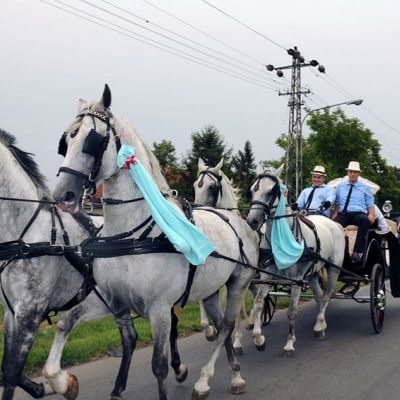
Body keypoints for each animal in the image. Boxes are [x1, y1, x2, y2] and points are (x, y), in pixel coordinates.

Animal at [0, 129, 135, 400]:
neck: (25, 238)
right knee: (130, 337)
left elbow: (10, 373)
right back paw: (117, 388)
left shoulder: (30, 313)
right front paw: (42, 387)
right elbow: (8, 370)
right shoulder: (11, 312)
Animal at [53, 84, 259, 400]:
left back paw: (209, 379)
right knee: (220, 324)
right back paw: (232, 374)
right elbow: (64, 323)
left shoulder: (160, 309)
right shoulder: (113, 299)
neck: (133, 235)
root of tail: (236, 218)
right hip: (211, 289)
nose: (63, 195)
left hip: (239, 282)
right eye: (66, 141)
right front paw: (61, 381)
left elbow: (159, 365)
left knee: (227, 325)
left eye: (93, 140)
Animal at [246, 163, 345, 356]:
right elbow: (258, 303)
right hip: (313, 274)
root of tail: (335, 224)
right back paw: (320, 325)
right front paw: (258, 339)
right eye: (252, 190)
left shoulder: (296, 280)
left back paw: (319, 325)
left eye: (271, 191)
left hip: (333, 269)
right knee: (319, 296)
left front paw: (289, 343)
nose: (252, 221)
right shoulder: (267, 277)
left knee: (327, 296)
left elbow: (291, 312)